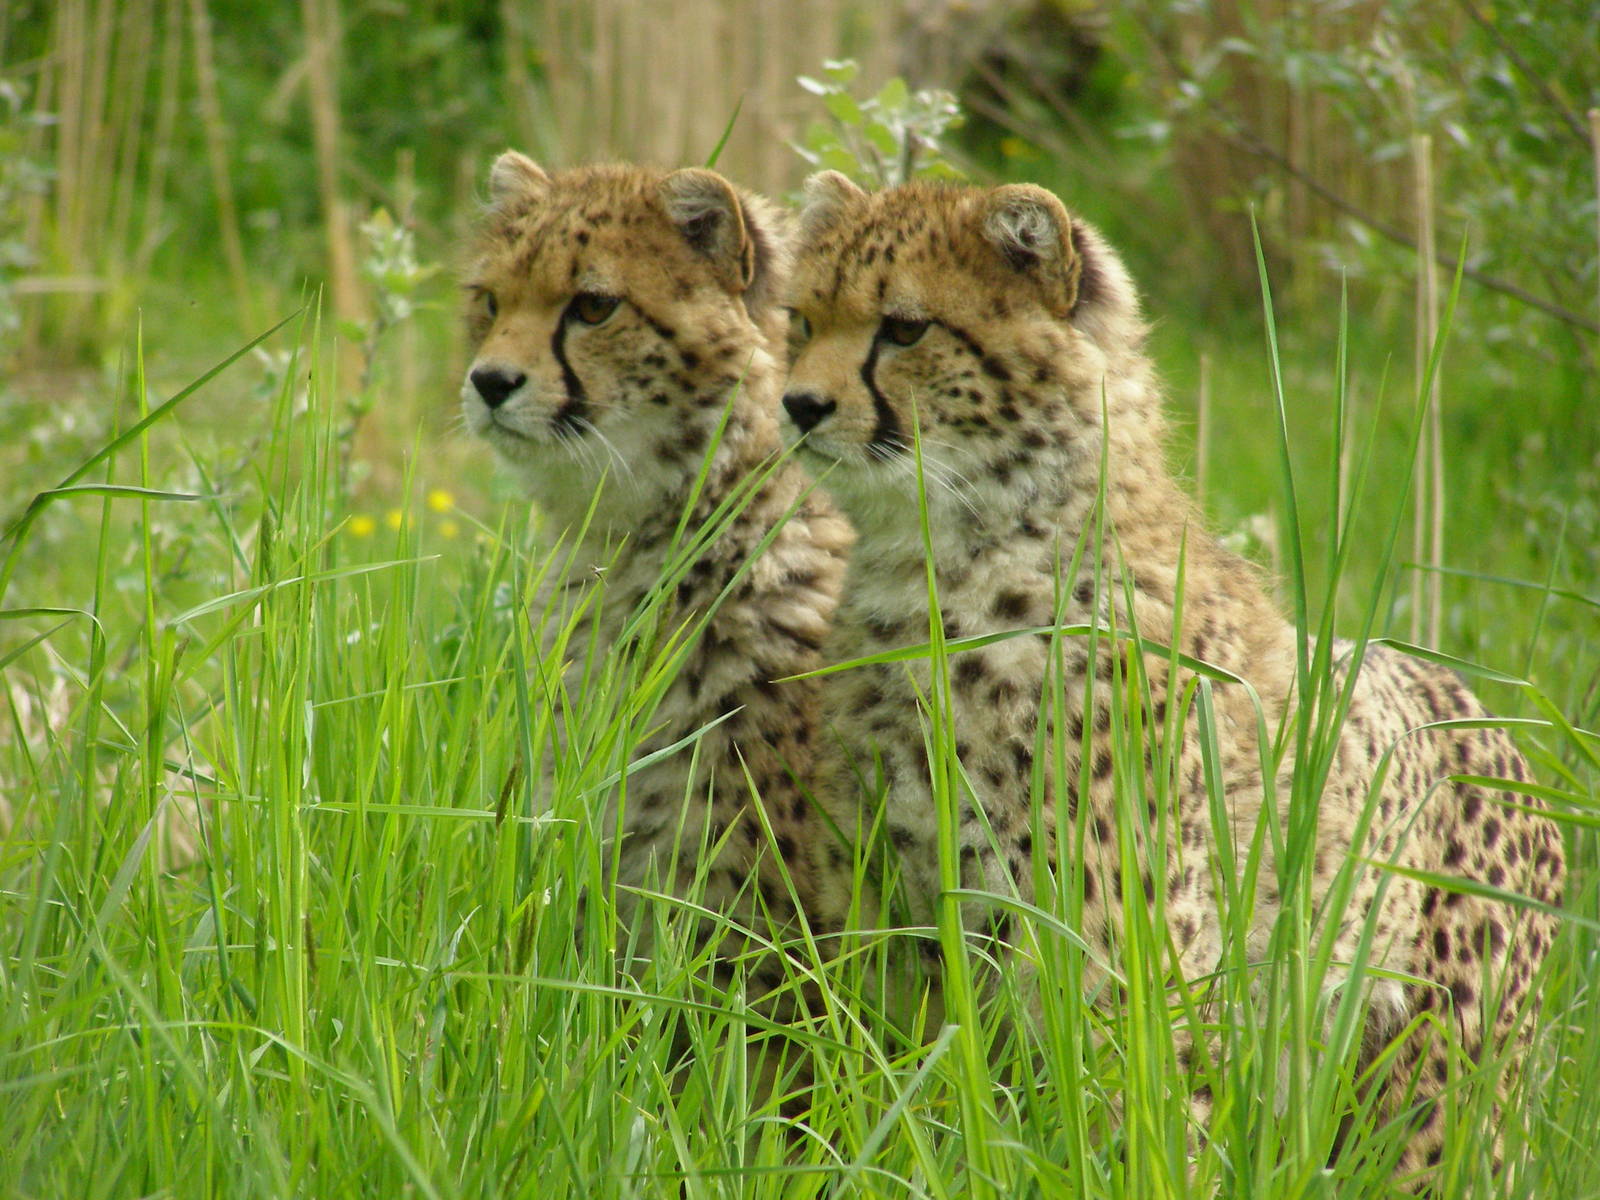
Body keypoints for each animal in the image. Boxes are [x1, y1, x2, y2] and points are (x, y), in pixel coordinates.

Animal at [779, 170, 1565, 1185]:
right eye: (800, 319)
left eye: (906, 329)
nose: (797, 404)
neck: (949, 564)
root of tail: (1488, 715)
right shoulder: (890, 936)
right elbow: (885, 1103)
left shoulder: (1113, 972)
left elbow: (1124, 1130)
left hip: (1431, 1105)